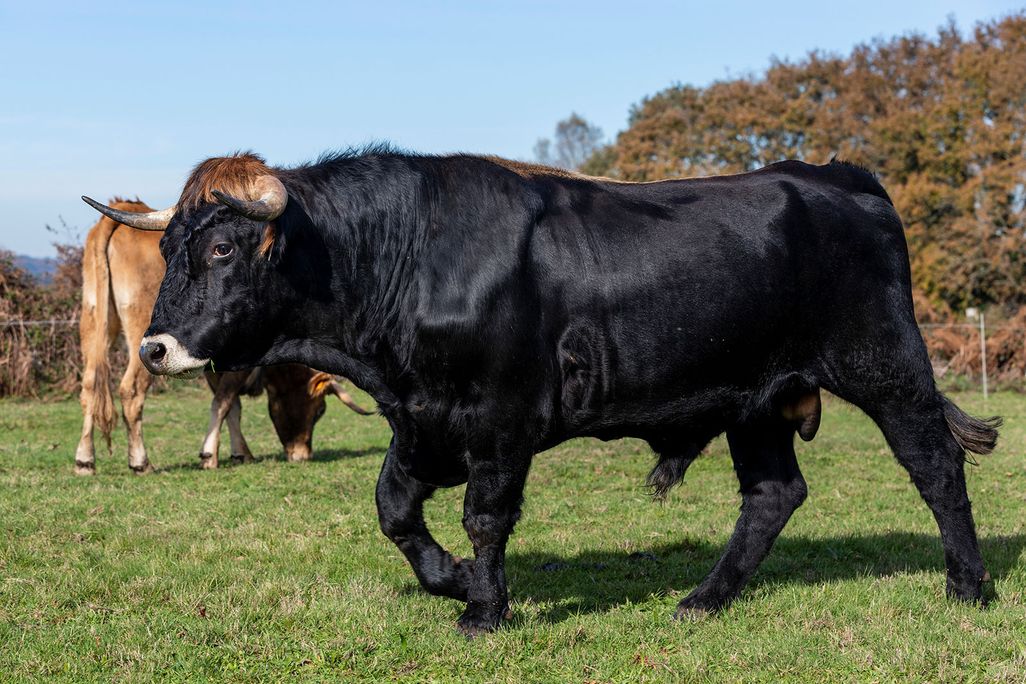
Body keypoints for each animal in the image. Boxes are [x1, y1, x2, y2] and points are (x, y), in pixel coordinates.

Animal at [75, 197, 370, 475]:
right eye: (320, 410)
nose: (302, 454)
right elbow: (225, 400)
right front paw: (210, 454)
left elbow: (231, 405)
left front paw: (240, 452)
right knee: (131, 390)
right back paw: (140, 461)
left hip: (94, 324)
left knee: (89, 384)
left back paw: (85, 459)